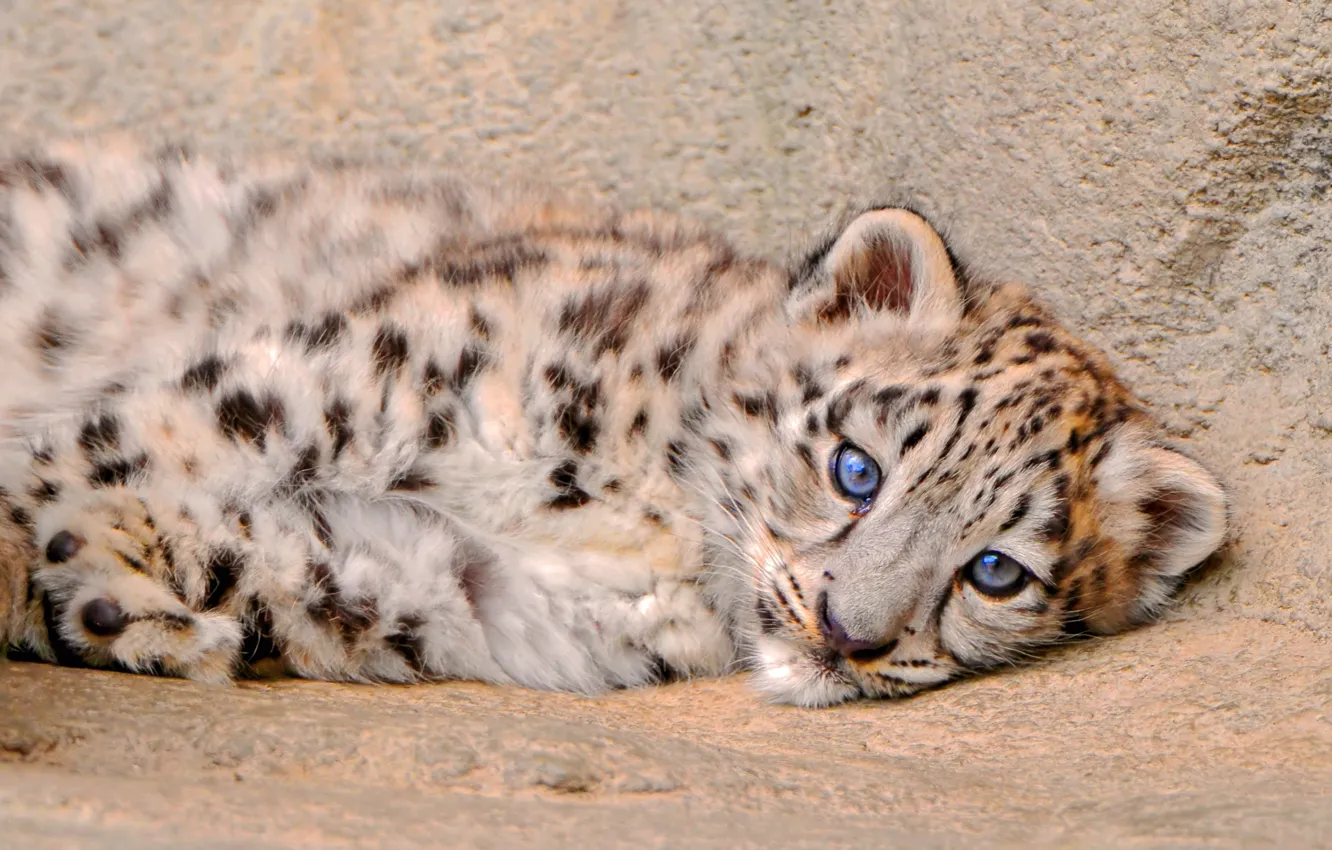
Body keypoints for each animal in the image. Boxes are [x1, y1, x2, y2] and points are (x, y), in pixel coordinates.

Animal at [0, 139, 1227, 707]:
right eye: (857, 468)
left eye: (995, 572)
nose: (849, 634)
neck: (645, 516)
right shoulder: (355, 375)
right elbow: (133, 444)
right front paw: (86, 584)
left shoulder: (438, 579)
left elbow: (250, 552)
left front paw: (125, 613)